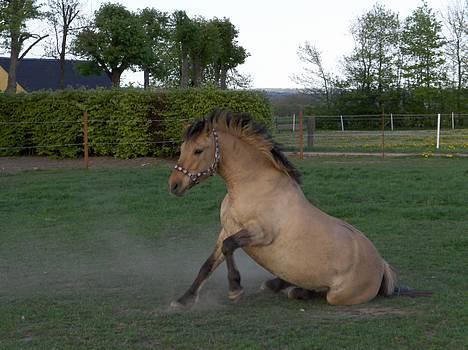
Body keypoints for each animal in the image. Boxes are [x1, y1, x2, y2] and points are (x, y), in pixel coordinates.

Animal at [168, 108, 428, 306]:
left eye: (198, 150)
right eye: (182, 149)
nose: (174, 185)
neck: (249, 187)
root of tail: (381, 265)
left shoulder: (261, 234)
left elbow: (230, 247)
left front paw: (234, 288)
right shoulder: (226, 230)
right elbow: (209, 263)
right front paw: (184, 300)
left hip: (338, 296)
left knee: (321, 293)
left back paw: (289, 288)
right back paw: (275, 284)